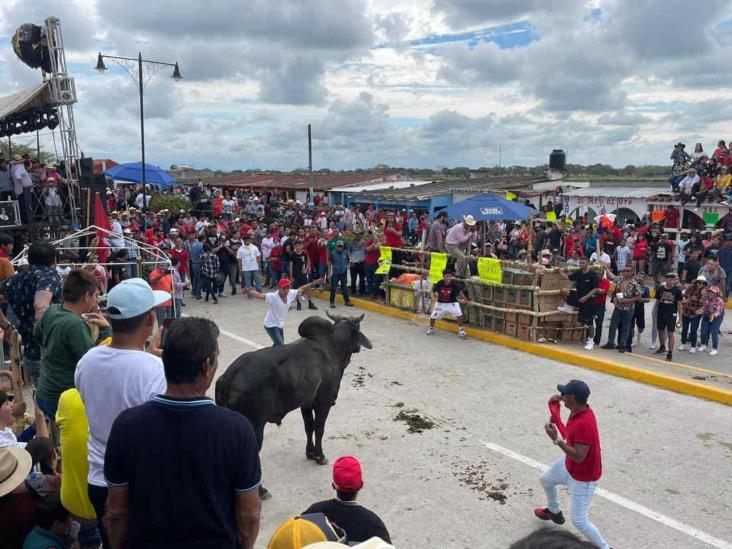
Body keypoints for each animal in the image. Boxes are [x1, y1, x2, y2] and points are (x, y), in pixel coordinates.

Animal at [214, 312, 368, 488]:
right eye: (358, 327)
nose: (358, 347)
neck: (333, 346)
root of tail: (230, 375)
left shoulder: (306, 404)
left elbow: (309, 427)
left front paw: (310, 452)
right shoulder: (323, 403)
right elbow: (319, 428)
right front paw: (319, 456)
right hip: (254, 427)